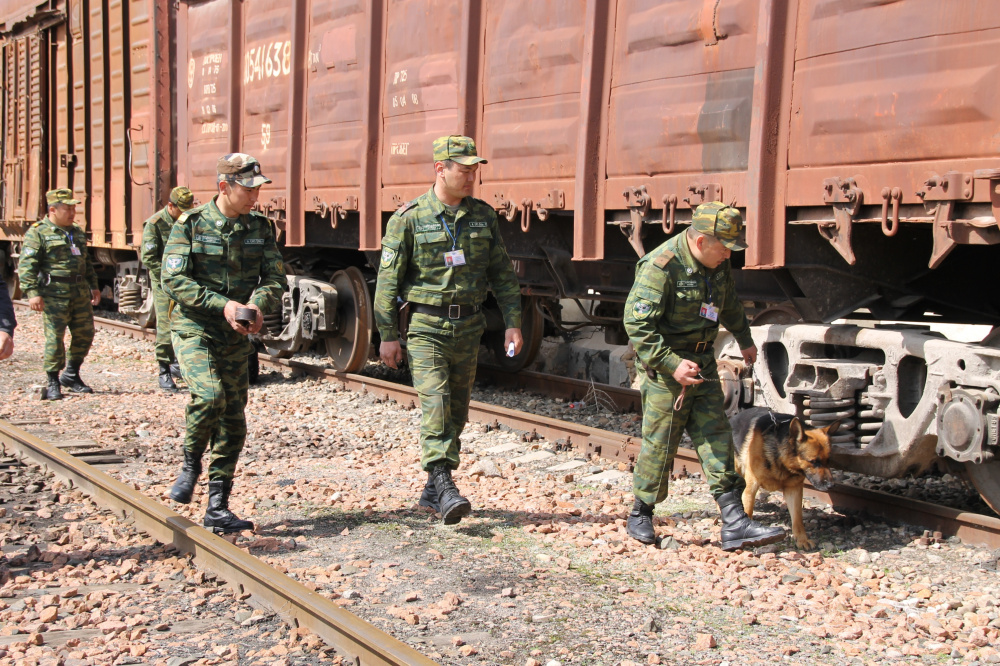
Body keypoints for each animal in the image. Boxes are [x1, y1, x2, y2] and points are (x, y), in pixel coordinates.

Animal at [732, 408, 840, 548]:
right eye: (813, 461)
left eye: (828, 461)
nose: (831, 486)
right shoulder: (751, 488)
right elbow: (747, 511)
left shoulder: (794, 490)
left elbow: (797, 518)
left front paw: (802, 540)